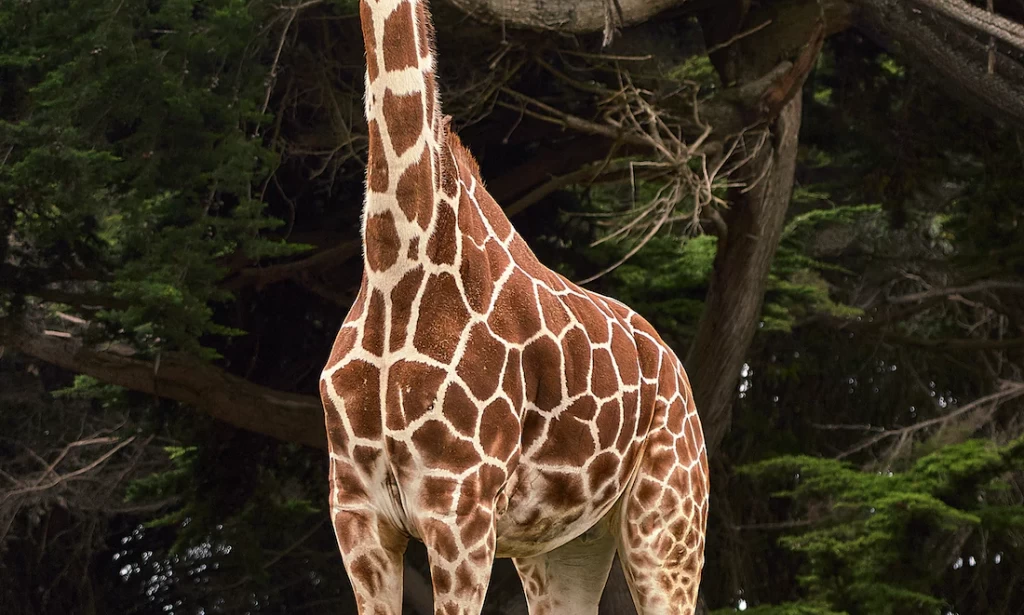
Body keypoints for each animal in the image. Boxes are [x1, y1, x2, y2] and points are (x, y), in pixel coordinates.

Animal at [319, 1, 709, 613]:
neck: (395, 268)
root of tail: (679, 375)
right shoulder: (355, 513)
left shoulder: (460, 512)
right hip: (563, 546)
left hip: (668, 525)